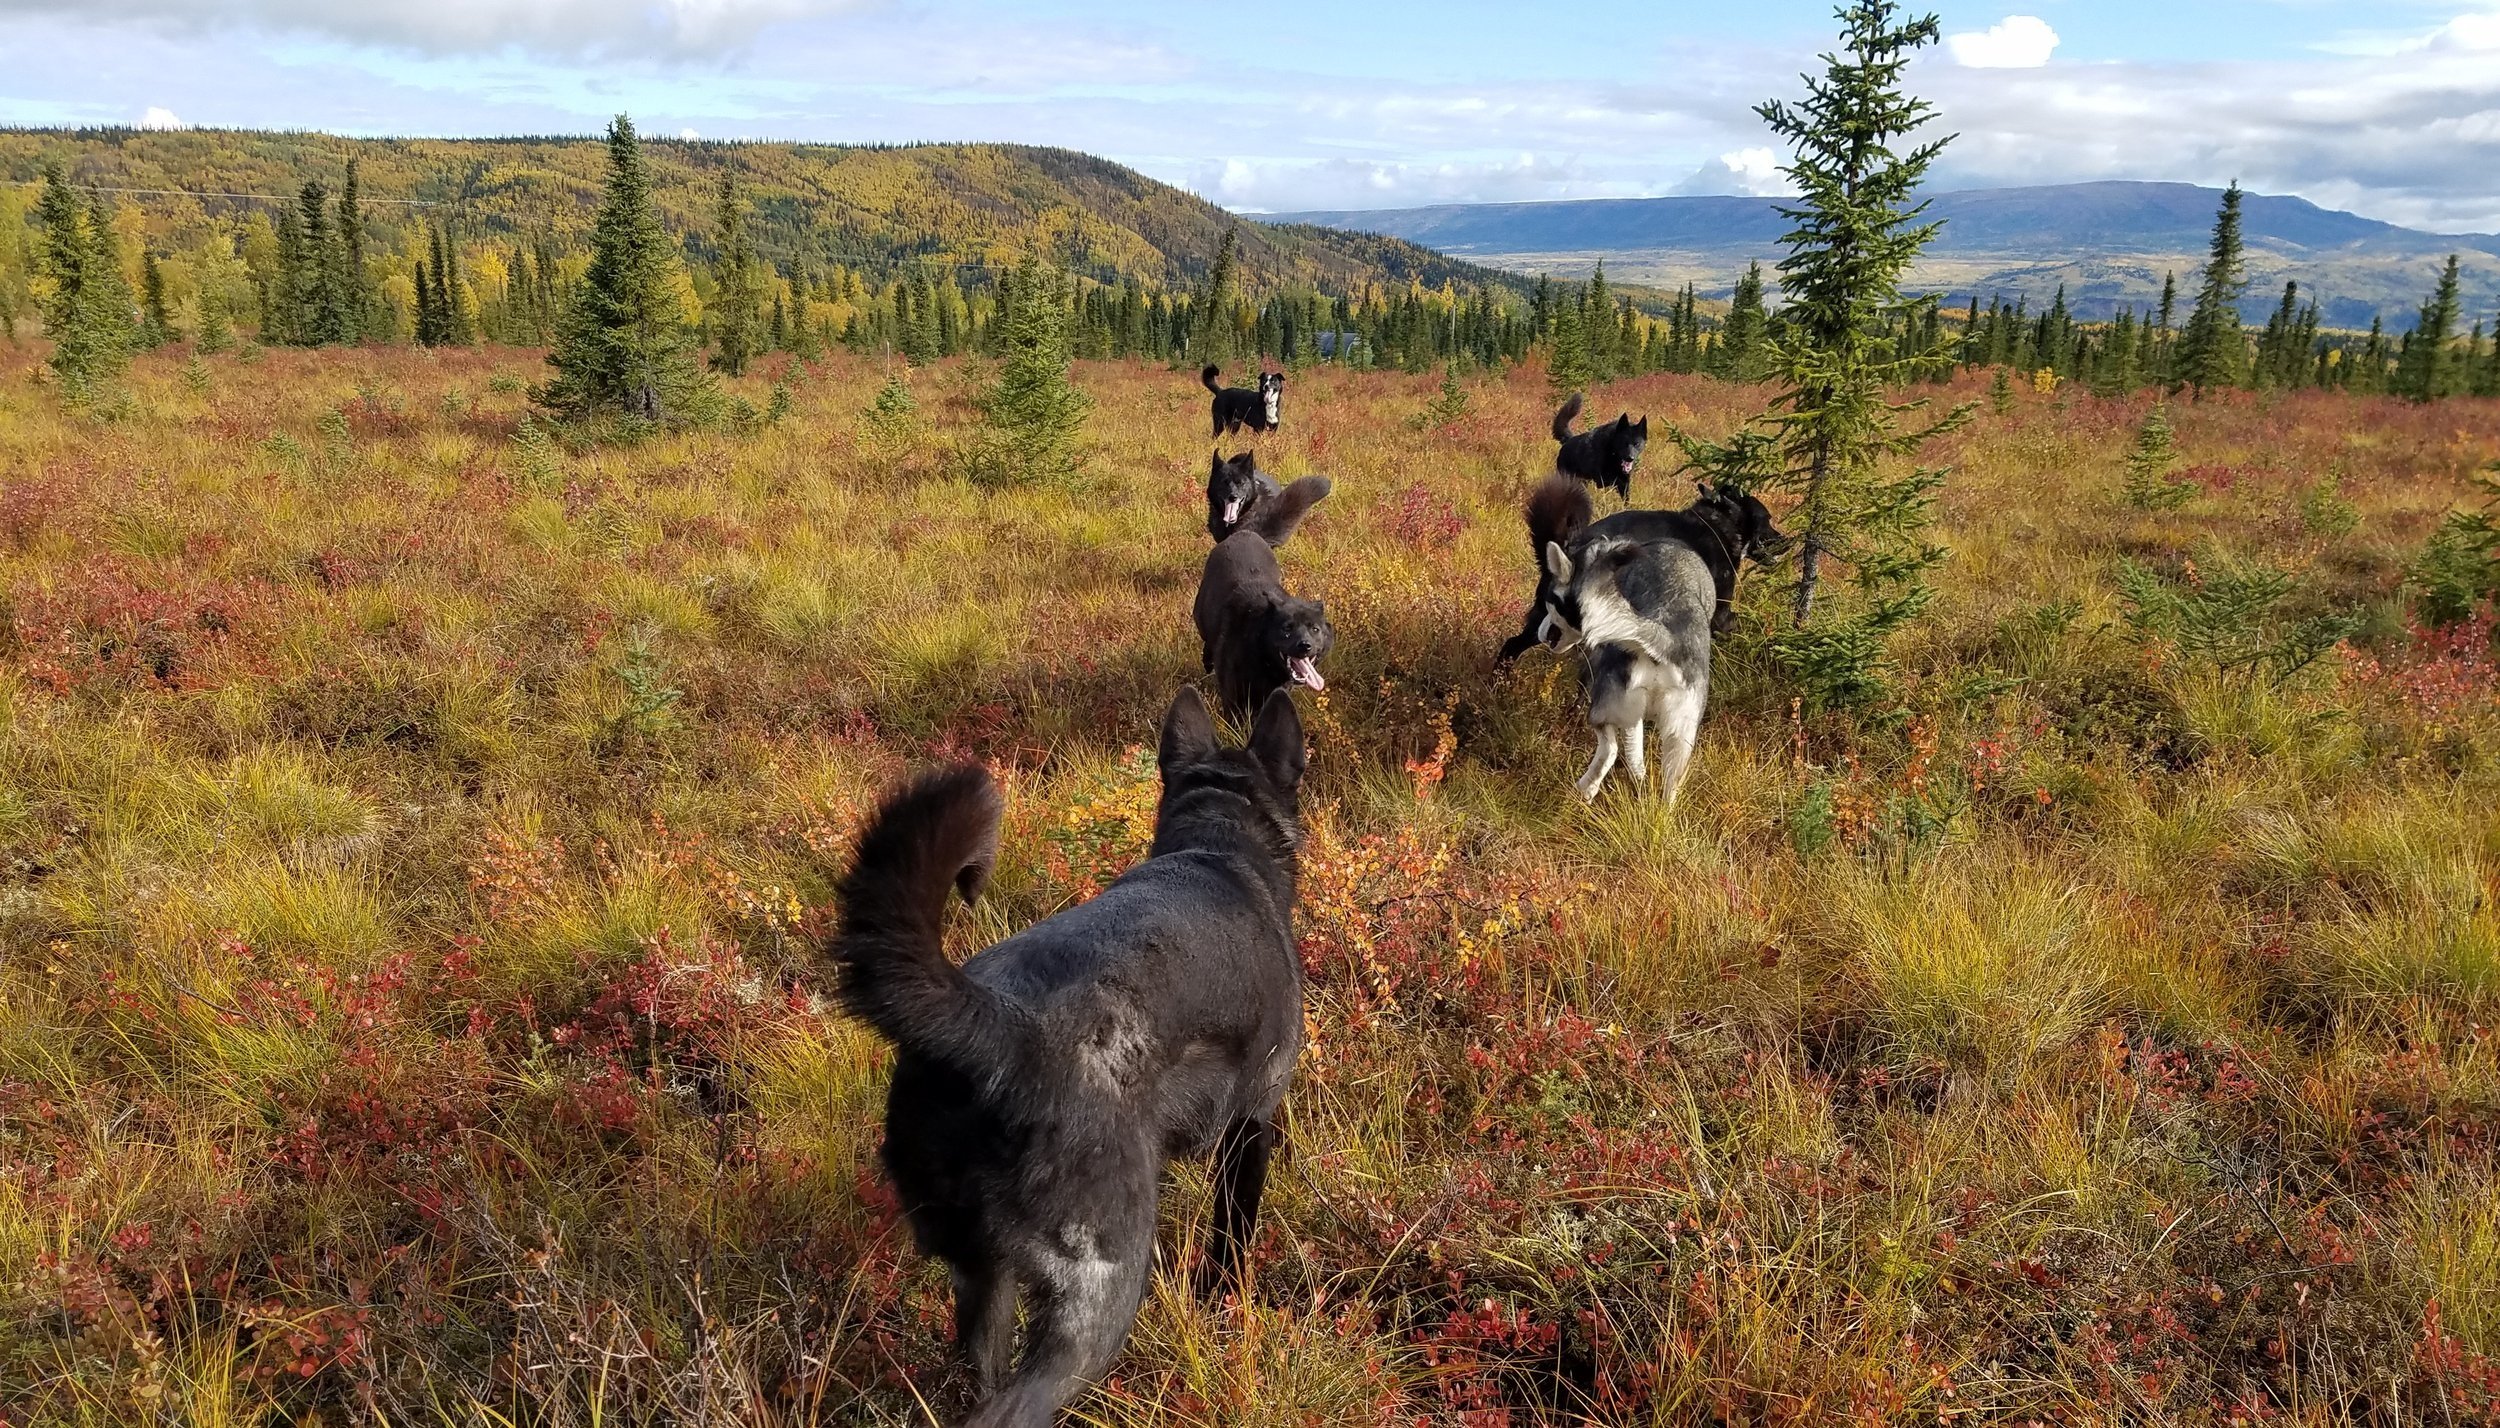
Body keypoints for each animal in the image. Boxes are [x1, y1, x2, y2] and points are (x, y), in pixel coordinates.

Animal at [835, 685, 1310, 1428]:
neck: (1219, 841)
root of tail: (998, 1028)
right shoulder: (1252, 1124)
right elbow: (1231, 1240)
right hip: (1097, 1299)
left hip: (984, 1279)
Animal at [1490, 475, 1790, 665]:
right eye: (1768, 519)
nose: (1787, 542)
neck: (1717, 524)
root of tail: (1568, 548)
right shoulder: (1720, 614)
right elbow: (1735, 625)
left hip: (1545, 621)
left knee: (1511, 645)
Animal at [1520, 490, 1780, 805]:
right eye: (1767, 520)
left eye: (1553, 603)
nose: (1782, 540)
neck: (1714, 525)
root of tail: (1662, 636)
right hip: (1678, 733)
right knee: (1649, 772)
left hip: (1616, 709)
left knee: (1615, 751)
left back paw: (1590, 787)